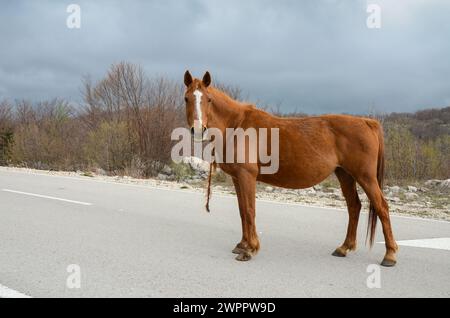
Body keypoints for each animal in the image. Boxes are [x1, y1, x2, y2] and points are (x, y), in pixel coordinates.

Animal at [182, 71, 398, 268]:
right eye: (186, 98)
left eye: (208, 99)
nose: (198, 129)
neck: (237, 125)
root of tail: (367, 122)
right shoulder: (237, 178)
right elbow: (242, 211)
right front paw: (242, 245)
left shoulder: (247, 177)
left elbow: (250, 210)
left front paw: (250, 249)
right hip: (345, 175)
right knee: (354, 206)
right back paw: (344, 248)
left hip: (365, 177)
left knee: (382, 207)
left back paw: (390, 255)